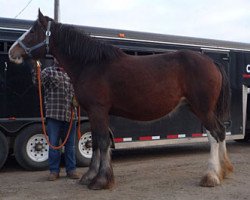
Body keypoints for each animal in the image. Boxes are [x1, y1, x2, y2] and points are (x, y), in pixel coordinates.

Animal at [8, 10, 233, 190]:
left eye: (33, 31)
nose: (12, 52)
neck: (91, 64)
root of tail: (210, 61)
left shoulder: (98, 110)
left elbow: (102, 142)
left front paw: (100, 181)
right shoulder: (95, 113)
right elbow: (96, 143)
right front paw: (90, 176)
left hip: (202, 108)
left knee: (215, 134)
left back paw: (211, 176)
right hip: (201, 108)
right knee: (220, 132)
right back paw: (225, 170)